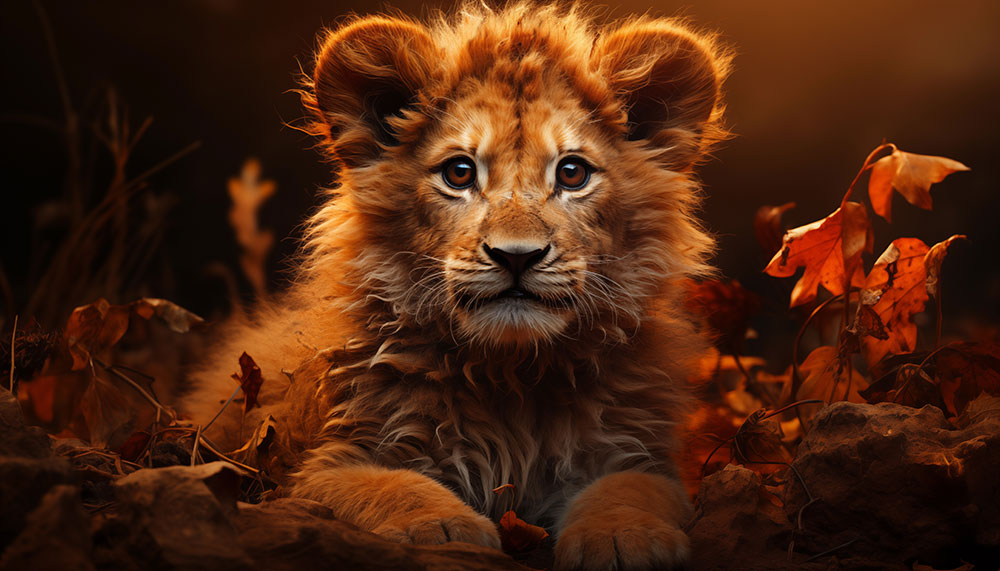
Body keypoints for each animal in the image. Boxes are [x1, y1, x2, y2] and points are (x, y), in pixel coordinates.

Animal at [180, 3, 729, 569]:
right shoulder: (324, 463)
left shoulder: (640, 454)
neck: (513, 374)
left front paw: (625, 537)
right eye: (460, 173)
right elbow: (390, 487)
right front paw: (439, 529)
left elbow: (629, 489)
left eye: (573, 173)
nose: (517, 256)